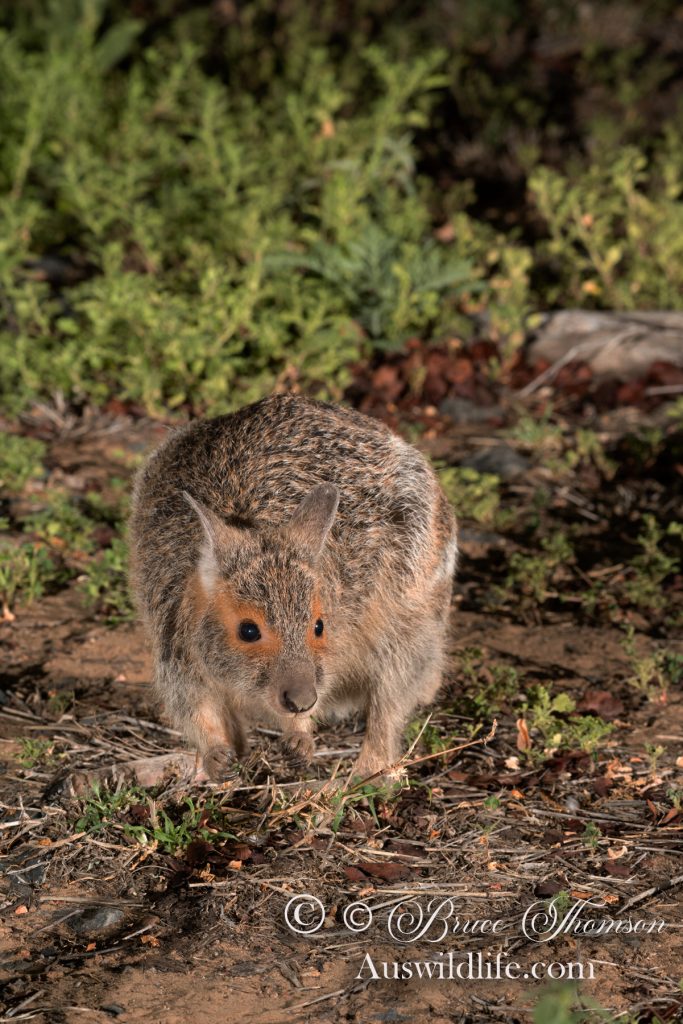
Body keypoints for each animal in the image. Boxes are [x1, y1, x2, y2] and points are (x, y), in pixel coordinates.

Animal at [128, 394, 458, 782]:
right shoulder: (175, 644)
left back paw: (367, 773)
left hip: (411, 614)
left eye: (319, 626)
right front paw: (218, 756)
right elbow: (196, 710)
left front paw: (299, 738)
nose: (301, 701)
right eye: (248, 630)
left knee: (391, 703)